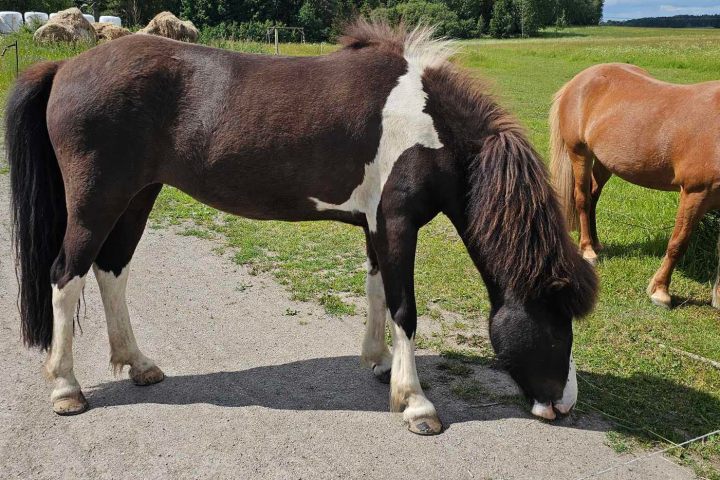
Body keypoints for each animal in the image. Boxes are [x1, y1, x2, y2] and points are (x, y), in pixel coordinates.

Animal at [6, 20, 596, 435]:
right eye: (558, 317)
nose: (565, 404)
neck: (428, 126)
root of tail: (64, 66)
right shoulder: (398, 223)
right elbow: (404, 309)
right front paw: (416, 404)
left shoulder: (376, 226)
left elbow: (377, 293)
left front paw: (380, 366)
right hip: (96, 203)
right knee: (65, 277)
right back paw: (67, 389)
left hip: (135, 197)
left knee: (111, 271)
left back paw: (139, 364)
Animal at [550, 62, 720, 309]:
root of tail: (578, 80)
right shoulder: (696, 192)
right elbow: (678, 243)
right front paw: (660, 292)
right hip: (579, 153)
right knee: (582, 198)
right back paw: (588, 250)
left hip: (605, 162)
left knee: (593, 196)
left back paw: (596, 243)